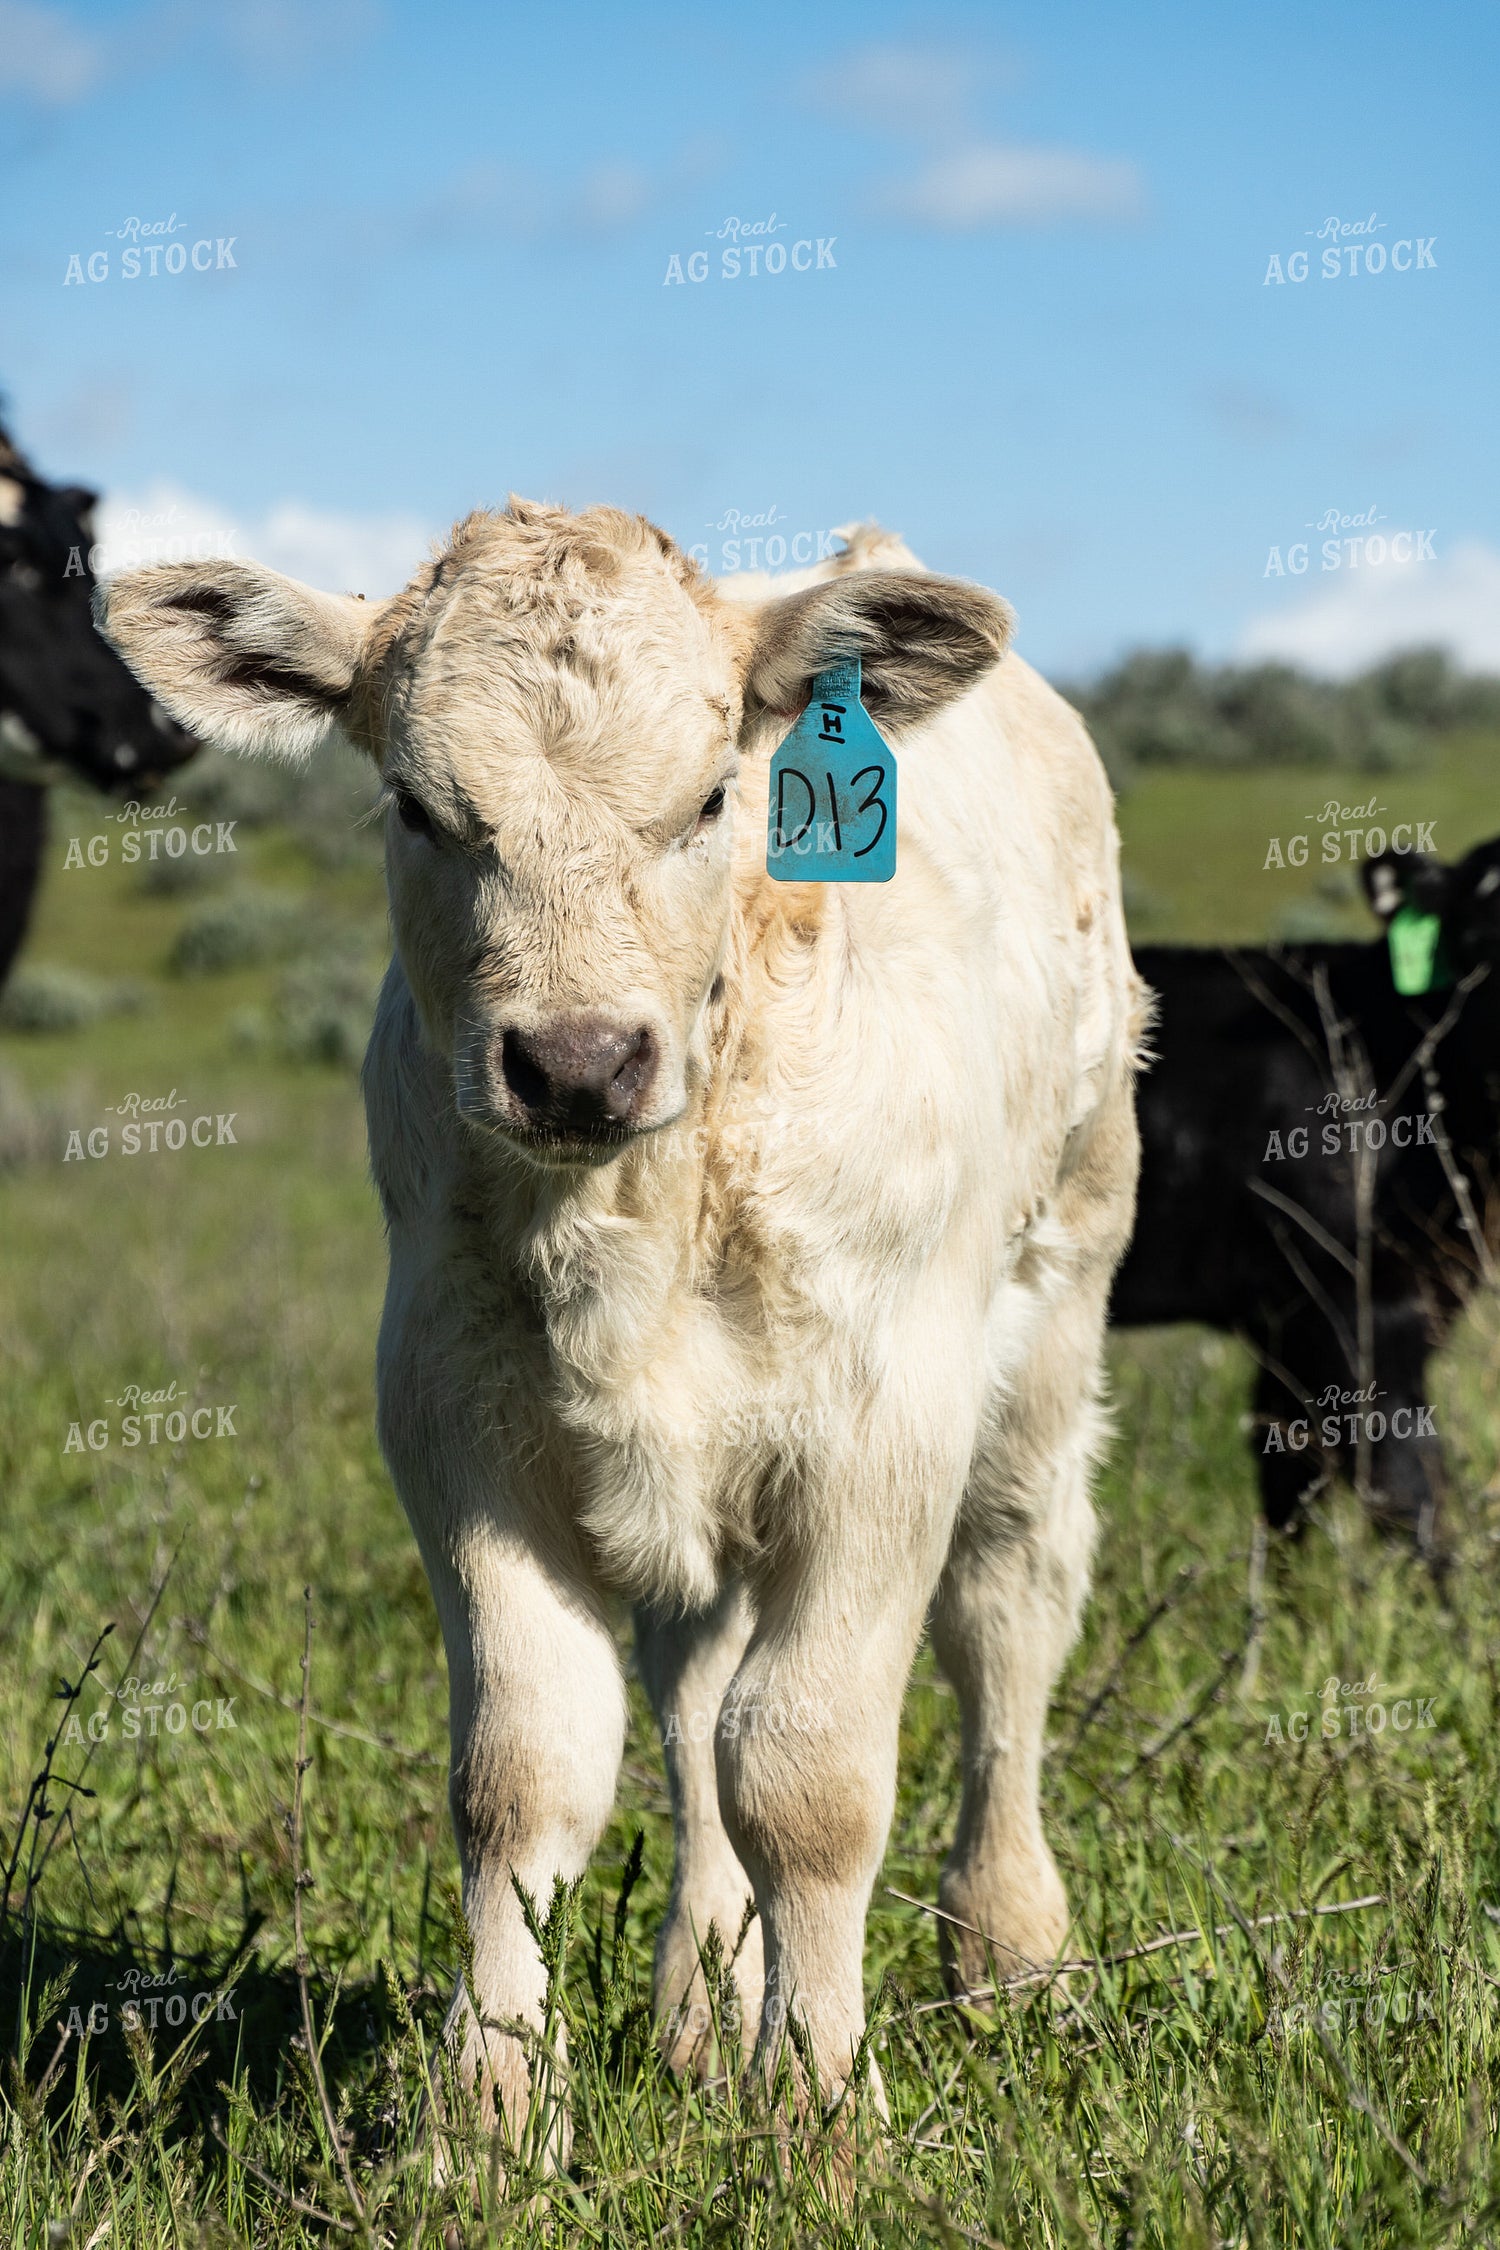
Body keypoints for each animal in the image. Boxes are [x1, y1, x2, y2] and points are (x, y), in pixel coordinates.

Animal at [97, 507, 1143, 2169]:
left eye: (713, 794)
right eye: (417, 806)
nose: (579, 1063)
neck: (632, 1219)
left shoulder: (882, 1433)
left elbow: (811, 1778)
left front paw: (823, 2107)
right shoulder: (457, 1420)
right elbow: (526, 1772)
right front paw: (490, 2113)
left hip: (1049, 1318)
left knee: (1007, 1618)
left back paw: (1012, 1948)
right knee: (698, 1705)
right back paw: (703, 2008)